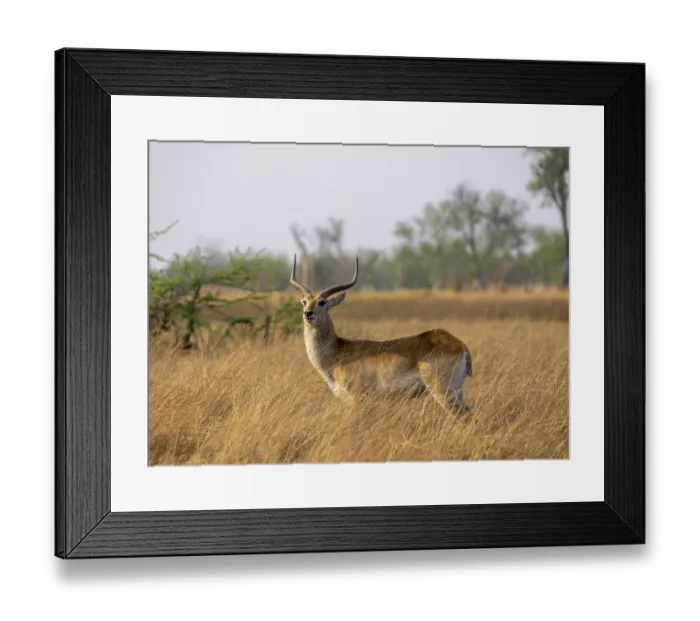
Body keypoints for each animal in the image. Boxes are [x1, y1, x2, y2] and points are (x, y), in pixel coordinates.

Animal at [290, 255, 473, 419]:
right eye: (304, 302)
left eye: (322, 302)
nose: (308, 313)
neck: (337, 354)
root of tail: (460, 345)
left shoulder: (358, 399)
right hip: (457, 392)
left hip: (443, 392)